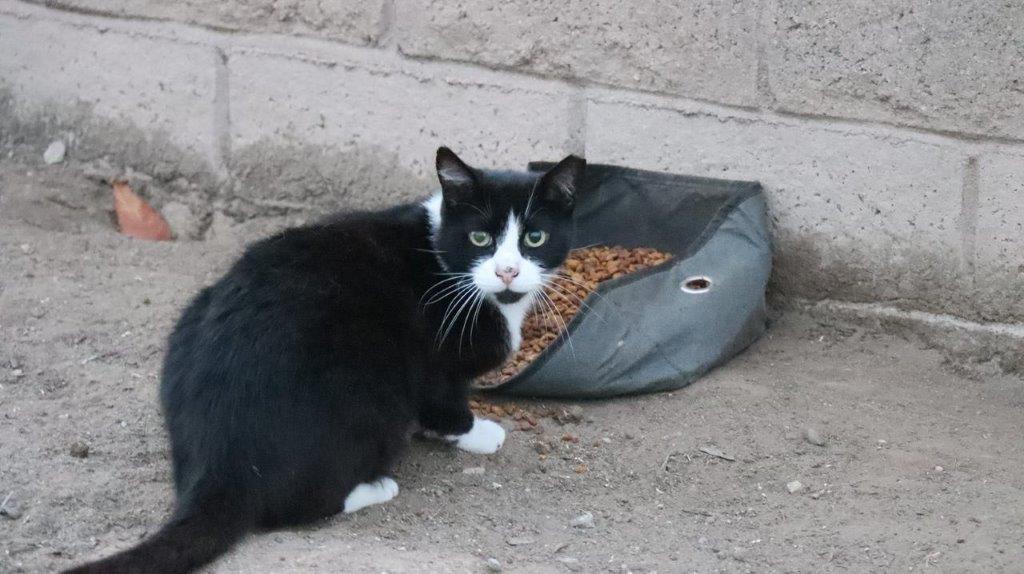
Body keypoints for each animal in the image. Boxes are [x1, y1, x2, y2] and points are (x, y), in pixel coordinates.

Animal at [66, 145, 585, 568]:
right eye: (481, 239)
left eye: (535, 238)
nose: (508, 271)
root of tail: (221, 464)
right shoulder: (433, 351)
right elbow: (443, 398)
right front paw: (475, 432)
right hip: (368, 391)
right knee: (296, 508)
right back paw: (374, 486)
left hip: (189, 321)